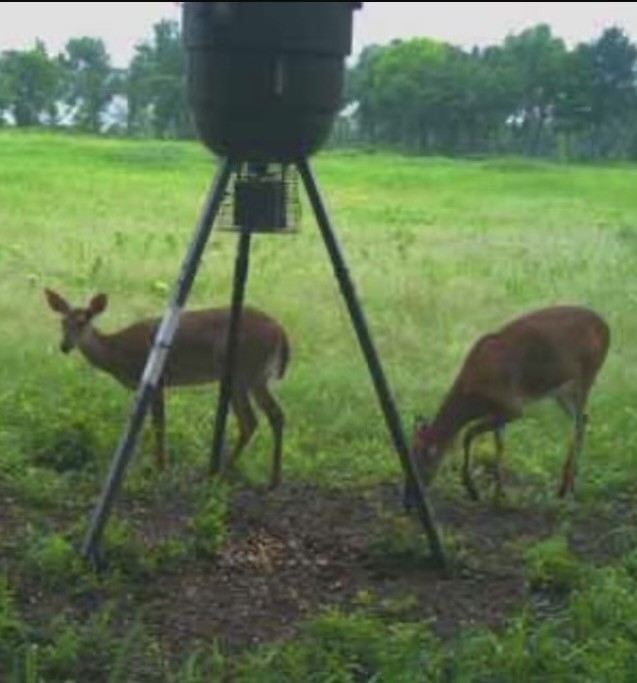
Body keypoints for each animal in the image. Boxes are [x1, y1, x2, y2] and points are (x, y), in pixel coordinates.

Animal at [44, 288, 290, 488]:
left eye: (83, 321)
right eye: (62, 322)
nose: (65, 346)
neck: (116, 353)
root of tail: (281, 330)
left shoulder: (157, 379)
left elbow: (159, 424)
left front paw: (160, 469)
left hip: (243, 370)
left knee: (250, 420)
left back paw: (219, 473)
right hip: (256, 376)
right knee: (275, 414)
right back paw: (274, 478)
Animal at [406, 305, 610, 507]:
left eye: (421, 466)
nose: (407, 501)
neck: (473, 397)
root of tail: (606, 327)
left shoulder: (512, 407)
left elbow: (468, 434)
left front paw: (472, 490)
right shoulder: (499, 413)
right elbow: (499, 445)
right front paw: (499, 494)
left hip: (587, 375)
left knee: (579, 424)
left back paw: (569, 488)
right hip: (562, 392)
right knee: (583, 419)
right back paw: (566, 486)